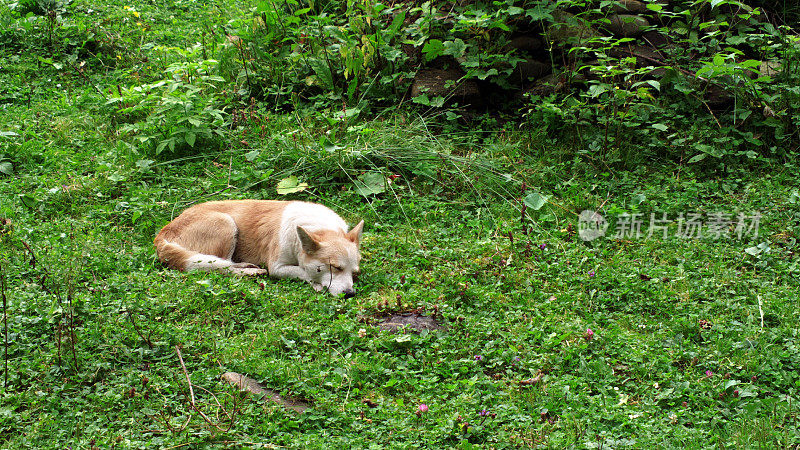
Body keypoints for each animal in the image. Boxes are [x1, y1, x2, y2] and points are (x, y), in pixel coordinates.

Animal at [154, 200, 366, 296]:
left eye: (354, 272)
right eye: (335, 267)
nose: (350, 294)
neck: (317, 226)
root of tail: (163, 234)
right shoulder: (277, 268)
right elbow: (304, 272)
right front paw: (316, 283)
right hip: (226, 223)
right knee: (222, 267)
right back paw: (249, 272)